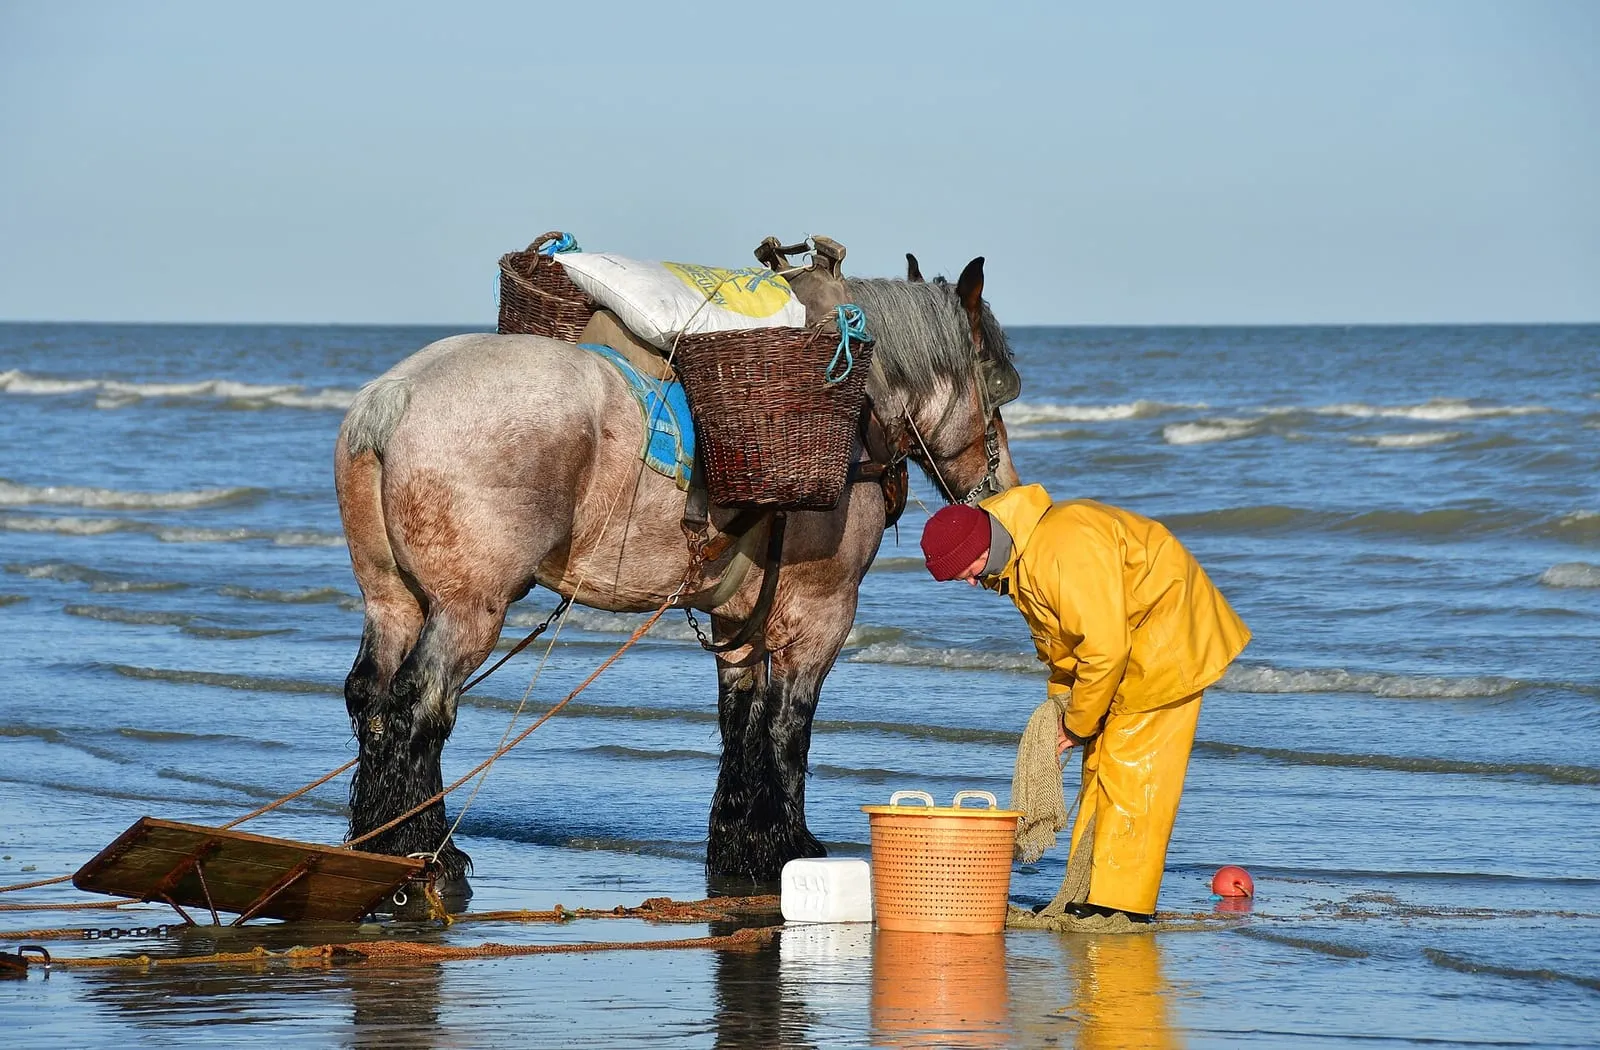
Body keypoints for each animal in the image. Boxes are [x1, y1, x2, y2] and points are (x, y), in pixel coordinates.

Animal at [333, 255, 1022, 890]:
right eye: (995, 389)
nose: (999, 494)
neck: (860, 416)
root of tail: (395, 396)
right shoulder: (821, 618)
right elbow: (788, 730)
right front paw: (790, 844)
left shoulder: (739, 622)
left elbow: (742, 723)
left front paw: (743, 844)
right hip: (469, 609)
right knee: (419, 706)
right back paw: (426, 848)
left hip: (393, 600)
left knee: (371, 697)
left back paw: (377, 837)